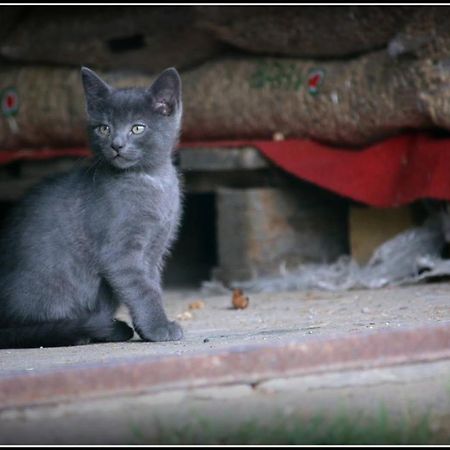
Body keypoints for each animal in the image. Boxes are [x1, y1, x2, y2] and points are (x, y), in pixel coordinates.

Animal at [0, 66, 185, 348]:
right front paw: (159, 328)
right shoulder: (120, 254)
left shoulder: (155, 250)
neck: (151, 180)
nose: (117, 145)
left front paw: (149, 328)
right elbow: (143, 290)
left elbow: (152, 286)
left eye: (137, 128)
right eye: (104, 129)